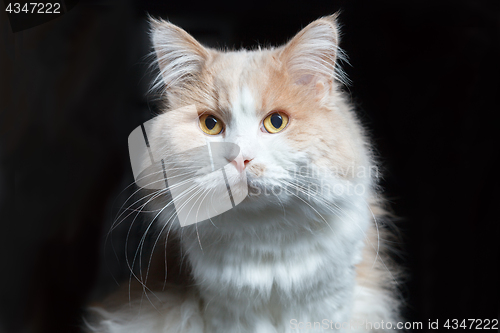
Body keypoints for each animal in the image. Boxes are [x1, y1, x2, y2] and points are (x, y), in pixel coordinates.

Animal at [86, 13, 402, 332]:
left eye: (276, 122)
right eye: (210, 125)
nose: (240, 159)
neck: (265, 236)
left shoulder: (329, 304)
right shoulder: (228, 314)